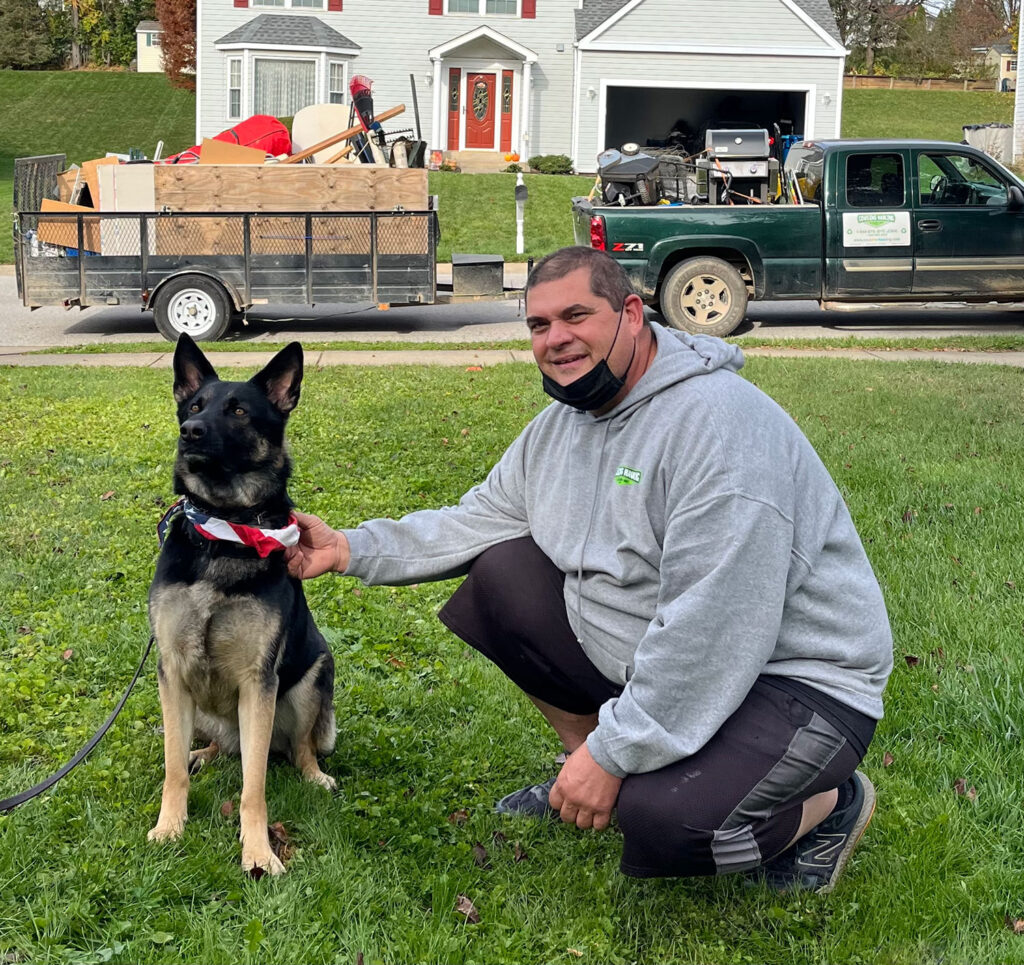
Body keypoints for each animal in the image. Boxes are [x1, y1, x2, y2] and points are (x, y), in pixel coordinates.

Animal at [148, 336, 335, 880]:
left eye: (238, 411)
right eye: (193, 406)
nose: (189, 432)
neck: (224, 527)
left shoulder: (259, 681)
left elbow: (254, 787)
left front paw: (258, 851)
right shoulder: (172, 670)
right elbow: (171, 769)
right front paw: (170, 826)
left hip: (312, 679)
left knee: (299, 748)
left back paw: (314, 774)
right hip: (197, 705)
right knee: (216, 745)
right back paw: (204, 753)